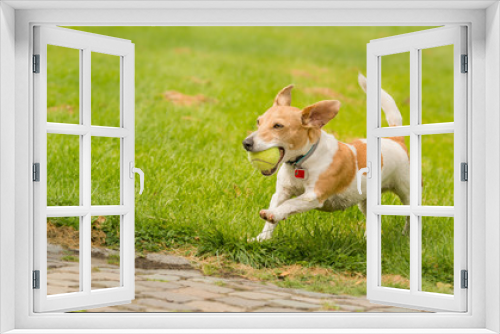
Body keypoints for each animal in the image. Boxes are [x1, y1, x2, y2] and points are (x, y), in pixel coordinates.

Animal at [242, 73, 410, 241]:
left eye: (278, 126)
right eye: (258, 122)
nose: (246, 143)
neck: (304, 160)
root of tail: (396, 140)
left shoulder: (314, 195)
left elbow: (290, 204)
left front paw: (273, 214)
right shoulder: (282, 192)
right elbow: (275, 212)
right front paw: (261, 239)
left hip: (405, 190)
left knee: (408, 214)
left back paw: (406, 235)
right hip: (366, 202)